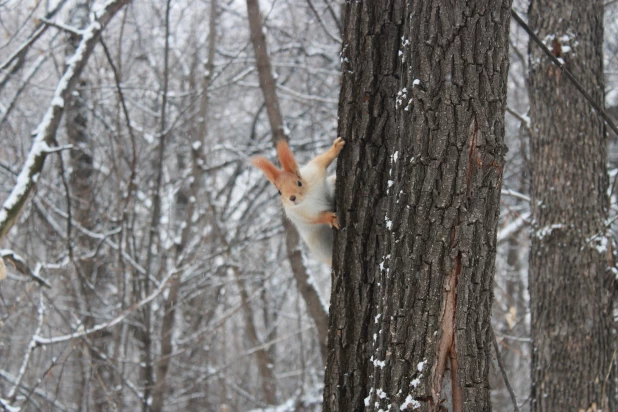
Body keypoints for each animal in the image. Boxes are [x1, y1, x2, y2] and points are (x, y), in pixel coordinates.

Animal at [251, 138, 346, 268]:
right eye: (279, 192)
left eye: (299, 183)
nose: (292, 198)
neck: (307, 198)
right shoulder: (299, 214)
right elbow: (316, 218)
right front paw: (330, 218)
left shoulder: (314, 174)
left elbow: (320, 161)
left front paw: (336, 147)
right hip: (319, 245)